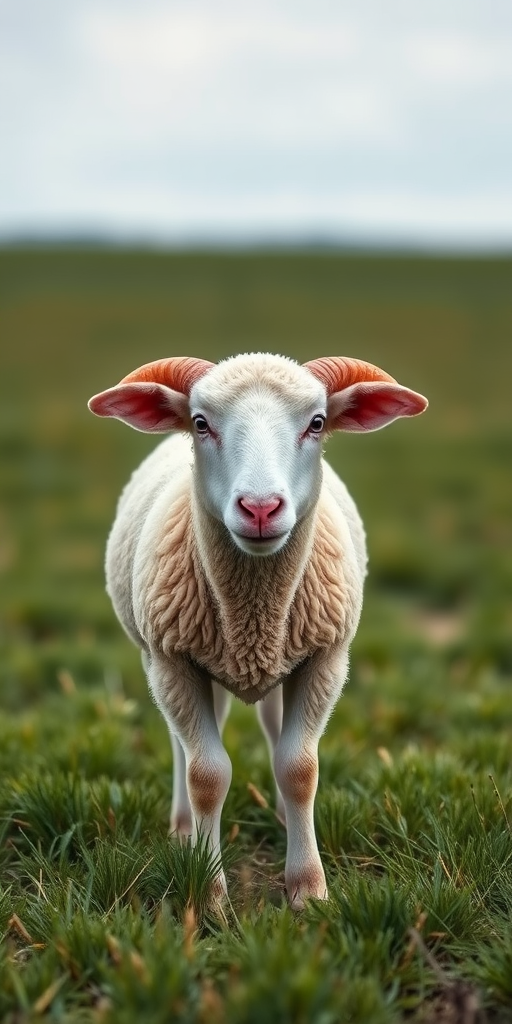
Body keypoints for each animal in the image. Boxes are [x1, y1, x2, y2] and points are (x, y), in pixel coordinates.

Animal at [88, 352, 427, 908]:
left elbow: (299, 770)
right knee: (184, 743)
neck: (254, 614)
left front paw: (308, 888)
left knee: (272, 728)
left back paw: (281, 817)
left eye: (317, 423)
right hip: (162, 660)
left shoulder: (326, 659)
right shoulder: (172, 661)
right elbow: (207, 775)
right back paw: (183, 829)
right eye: (201, 423)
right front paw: (209, 893)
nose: (261, 508)